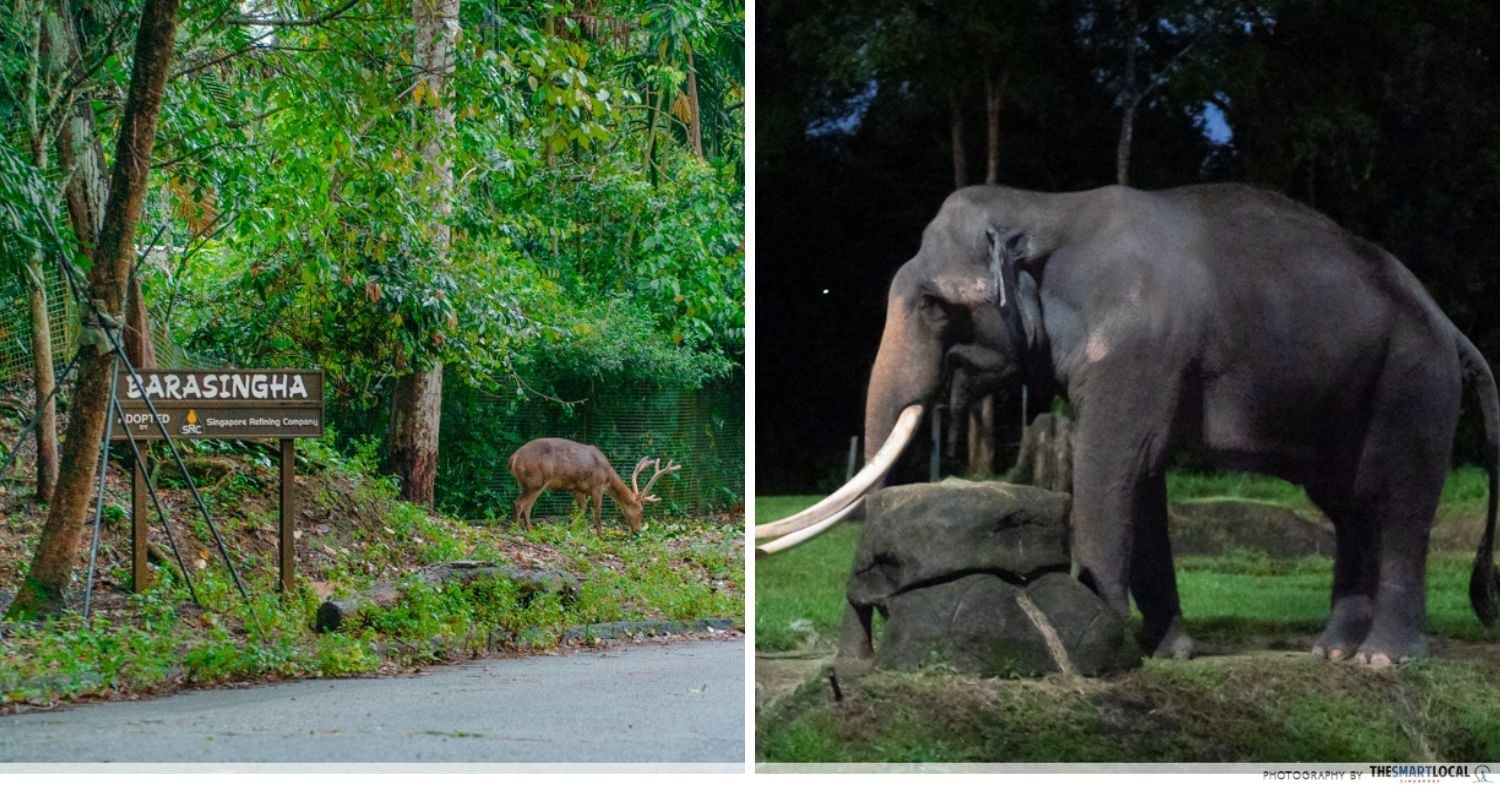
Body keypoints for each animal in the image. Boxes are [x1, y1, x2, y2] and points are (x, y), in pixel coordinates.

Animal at [757, 183, 1500, 667]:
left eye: (936, 306)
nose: (853, 664)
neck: (1046, 205)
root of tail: (1451, 328)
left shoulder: (1139, 346)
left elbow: (1110, 464)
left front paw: (1100, 643)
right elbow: (1141, 478)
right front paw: (1165, 651)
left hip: (1413, 382)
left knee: (1400, 500)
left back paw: (1384, 660)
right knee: (1349, 506)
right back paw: (1332, 652)